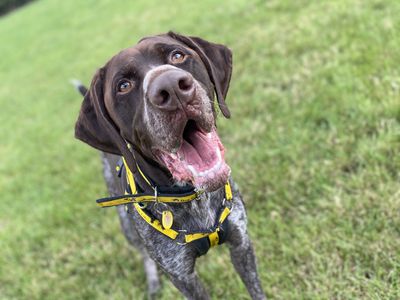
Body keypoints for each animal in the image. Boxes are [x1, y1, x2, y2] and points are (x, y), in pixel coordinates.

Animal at [75, 31, 266, 298]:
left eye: (177, 55)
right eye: (123, 86)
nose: (172, 87)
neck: (194, 198)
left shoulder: (241, 243)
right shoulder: (183, 277)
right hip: (127, 228)